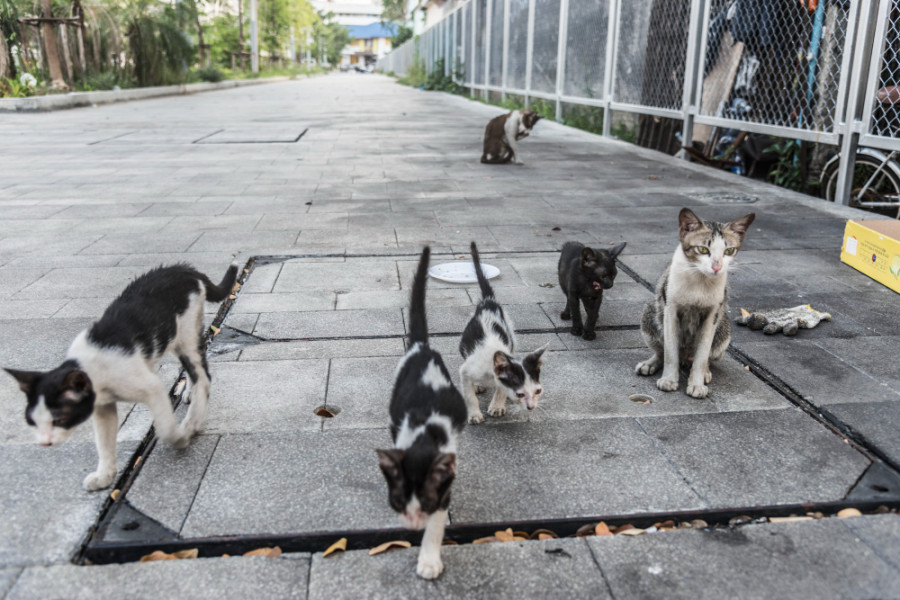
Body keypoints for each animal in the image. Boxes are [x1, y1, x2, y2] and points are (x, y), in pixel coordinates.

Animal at [4, 264, 236, 490]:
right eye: (32, 422)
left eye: (59, 419)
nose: (44, 443)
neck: (90, 366)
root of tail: (183, 268)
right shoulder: (102, 407)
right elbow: (104, 441)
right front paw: (104, 476)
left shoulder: (152, 387)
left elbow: (165, 426)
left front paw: (179, 438)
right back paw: (189, 394)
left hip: (186, 334)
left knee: (203, 376)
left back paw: (192, 420)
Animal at [376, 246, 468, 580]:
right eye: (398, 501)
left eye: (426, 502)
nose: (414, 524)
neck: (425, 435)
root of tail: (420, 347)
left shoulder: (444, 487)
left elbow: (438, 523)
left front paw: (428, 560)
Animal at [460, 241, 544, 424]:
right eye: (520, 394)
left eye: (537, 391)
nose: (531, 407)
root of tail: (488, 302)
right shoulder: (465, 371)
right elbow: (469, 395)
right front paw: (474, 414)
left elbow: (500, 389)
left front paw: (497, 406)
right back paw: (477, 385)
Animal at [636, 207, 756, 398]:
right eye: (702, 249)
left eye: (728, 251)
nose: (717, 267)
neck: (700, 281)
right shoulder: (670, 310)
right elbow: (670, 352)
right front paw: (669, 379)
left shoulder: (713, 314)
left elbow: (702, 353)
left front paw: (697, 383)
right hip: (650, 312)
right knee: (662, 349)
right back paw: (651, 363)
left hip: (724, 329)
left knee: (706, 356)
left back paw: (705, 371)